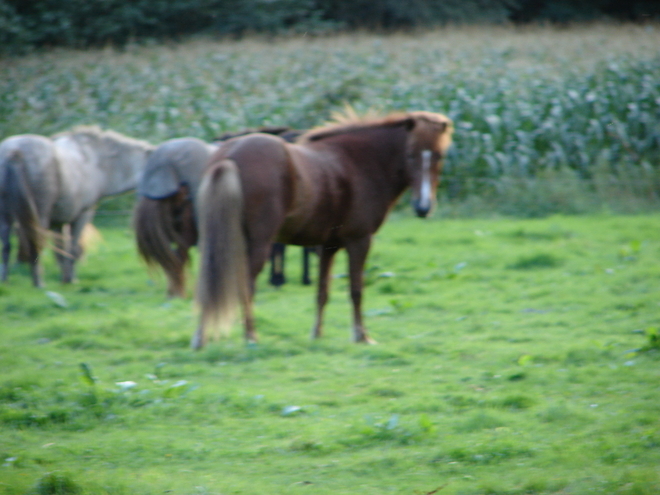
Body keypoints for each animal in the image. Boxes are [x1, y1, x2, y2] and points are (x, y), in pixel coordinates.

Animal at [0, 126, 152, 286]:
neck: (97, 162)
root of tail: (15, 151)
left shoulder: (59, 222)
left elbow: (61, 249)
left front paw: (64, 277)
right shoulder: (83, 215)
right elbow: (71, 247)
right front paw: (71, 279)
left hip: (5, 216)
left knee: (6, 246)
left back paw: (5, 280)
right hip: (38, 217)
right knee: (34, 243)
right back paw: (39, 282)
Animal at [192, 112, 454, 348]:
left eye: (439, 156)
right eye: (410, 155)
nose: (423, 208)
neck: (358, 163)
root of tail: (229, 156)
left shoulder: (328, 246)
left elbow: (322, 292)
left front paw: (316, 334)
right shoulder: (359, 241)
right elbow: (356, 290)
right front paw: (362, 336)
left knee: (208, 283)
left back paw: (200, 338)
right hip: (257, 245)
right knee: (245, 286)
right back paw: (250, 337)